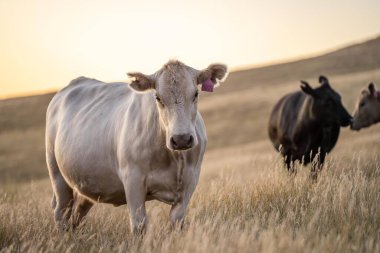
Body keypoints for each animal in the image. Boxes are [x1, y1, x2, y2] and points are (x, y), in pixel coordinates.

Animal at [46, 60, 227, 232]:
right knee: (61, 211)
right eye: (158, 97)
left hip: (85, 183)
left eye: (196, 93)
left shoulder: (190, 181)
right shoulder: (133, 180)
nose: (181, 138)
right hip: (57, 175)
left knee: (77, 213)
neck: (174, 158)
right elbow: (139, 225)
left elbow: (176, 222)